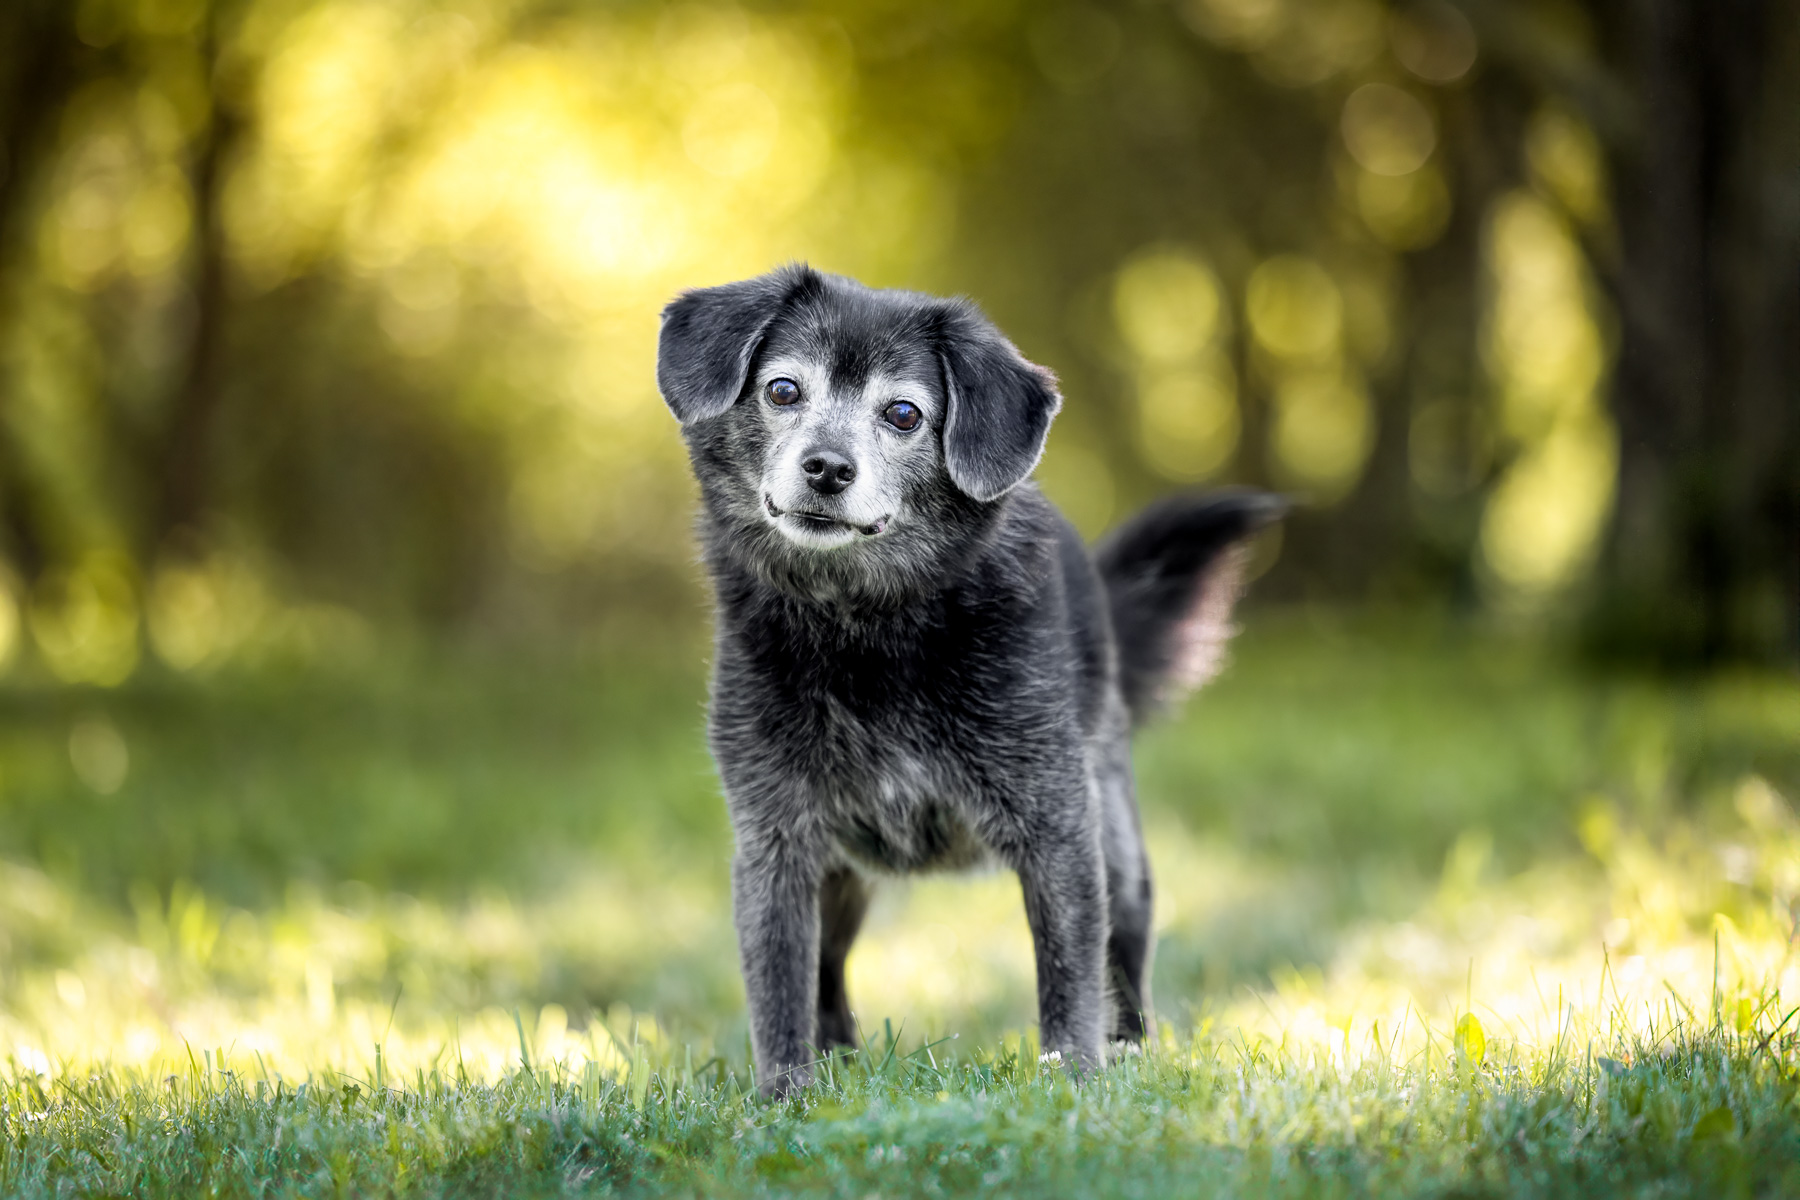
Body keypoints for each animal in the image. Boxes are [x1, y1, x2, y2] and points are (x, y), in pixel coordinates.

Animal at [658, 264, 1281, 1101]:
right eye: (783, 390)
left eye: (904, 413)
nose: (827, 467)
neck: (865, 628)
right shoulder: (776, 843)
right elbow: (780, 988)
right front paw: (787, 1098)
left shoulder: (1058, 828)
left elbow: (1068, 976)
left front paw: (1073, 1080)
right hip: (842, 879)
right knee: (829, 973)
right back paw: (841, 1063)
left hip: (1119, 851)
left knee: (1124, 961)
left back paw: (1128, 1053)